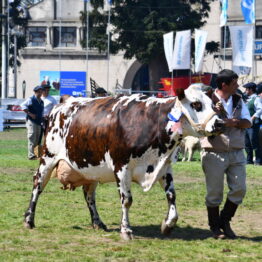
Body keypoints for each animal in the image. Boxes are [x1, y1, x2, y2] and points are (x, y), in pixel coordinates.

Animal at [24, 85, 223, 241]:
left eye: (214, 104)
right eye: (196, 104)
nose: (220, 123)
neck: (150, 122)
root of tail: (63, 103)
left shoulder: (164, 167)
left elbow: (171, 196)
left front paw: (167, 225)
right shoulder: (122, 167)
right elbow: (127, 200)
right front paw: (126, 230)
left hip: (91, 169)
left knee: (89, 194)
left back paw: (98, 222)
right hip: (48, 158)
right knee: (37, 185)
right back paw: (28, 220)